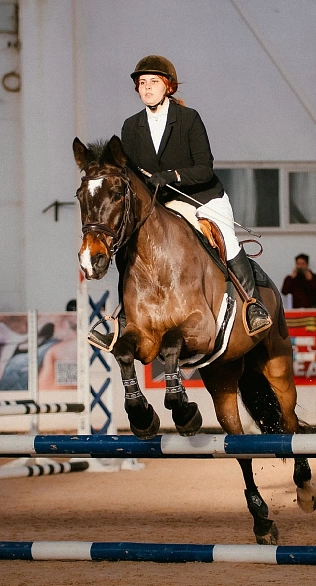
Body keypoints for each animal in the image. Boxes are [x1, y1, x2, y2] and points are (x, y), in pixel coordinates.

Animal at [72, 136, 316, 544]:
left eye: (118, 192)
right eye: (79, 195)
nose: (92, 261)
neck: (153, 261)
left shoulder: (200, 329)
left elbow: (172, 343)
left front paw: (183, 412)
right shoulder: (142, 339)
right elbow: (123, 353)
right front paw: (144, 416)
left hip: (277, 363)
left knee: (290, 423)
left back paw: (305, 490)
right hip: (223, 377)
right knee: (239, 448)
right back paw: (262, 522)